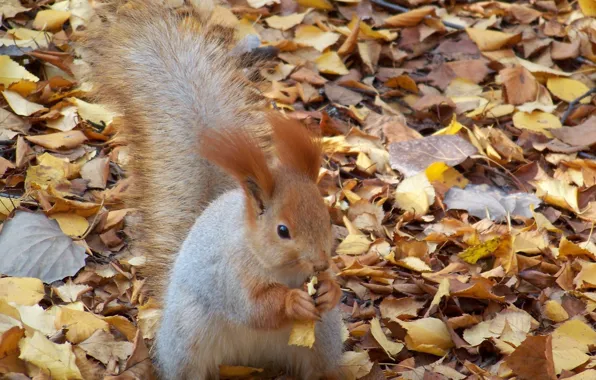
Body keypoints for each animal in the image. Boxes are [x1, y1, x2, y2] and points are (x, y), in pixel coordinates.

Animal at [81, 0, 346, 380]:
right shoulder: (229, 274)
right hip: (189, 337)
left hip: (323, 339)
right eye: (282, 230)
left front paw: (329, 289)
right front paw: (292, 301)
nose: (321, 263)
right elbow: (254, 308)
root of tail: (251, 359)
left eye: (327, 217)